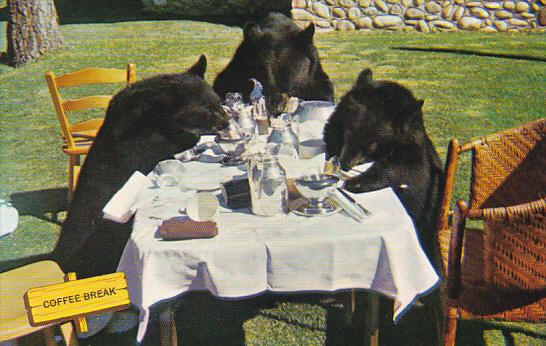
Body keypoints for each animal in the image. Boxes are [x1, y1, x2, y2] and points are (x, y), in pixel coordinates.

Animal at [324, 67, 442, 344]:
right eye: (348, 132)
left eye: (373, 143)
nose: (346, 163)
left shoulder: (415, 154)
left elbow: (405, 171)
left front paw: (357, 181)